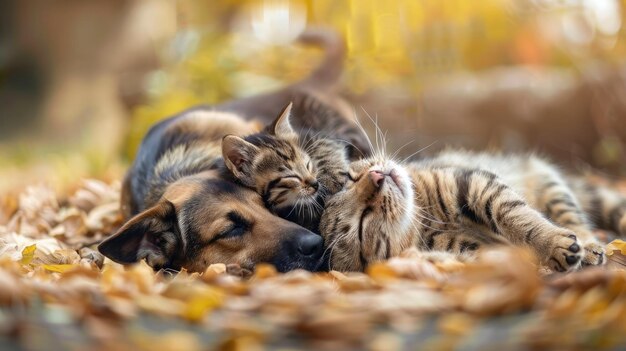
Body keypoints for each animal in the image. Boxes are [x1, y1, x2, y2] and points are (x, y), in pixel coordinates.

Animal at [320, 148, 620, 272]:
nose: (377, 176)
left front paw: (551, 242)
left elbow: (517, 217)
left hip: (552, 186)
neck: (423, 220)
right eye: (362, 222)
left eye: (350, 177)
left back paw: (589, 245)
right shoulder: (473, 248)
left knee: (576, 220)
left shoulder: (473, 182)